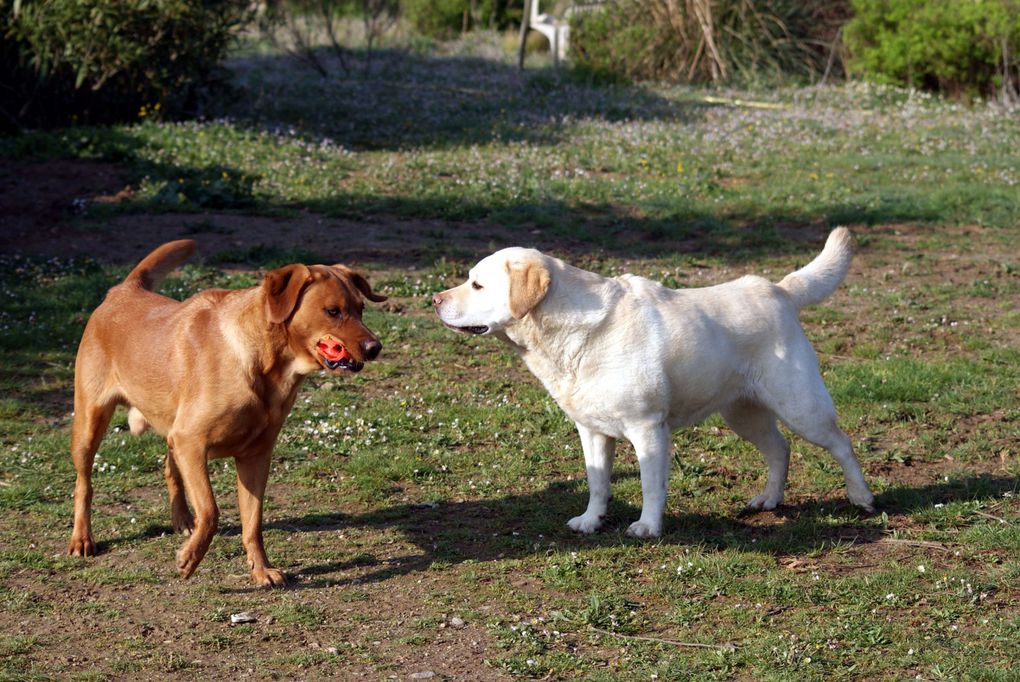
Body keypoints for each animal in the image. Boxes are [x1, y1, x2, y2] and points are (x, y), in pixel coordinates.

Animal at [67, 240, 385, 587]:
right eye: (333, 311)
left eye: (361, 309)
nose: (375, 347)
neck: (267, 366)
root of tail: (124, 289)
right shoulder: (192, 443)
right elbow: (210, 511)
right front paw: (190, 559)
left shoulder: (254, 456)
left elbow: (253, 523)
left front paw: (261, 569)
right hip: (89, 424)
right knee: (84, 485)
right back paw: (82, 538)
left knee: (169, 466)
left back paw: (182, 519)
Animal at [432, 228, 877, 538]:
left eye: (477, 285)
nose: (434, 300)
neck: (572, 331)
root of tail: (779, 289)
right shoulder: (591, 431)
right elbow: (597, 482)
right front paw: (592, 520)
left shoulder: (648, 430)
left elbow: (650, 485)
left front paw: (647, 527)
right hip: (742, 414)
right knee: (779, 449)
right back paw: (769, 499)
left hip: (802, 407)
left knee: (841, 444)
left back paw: (862, 498)